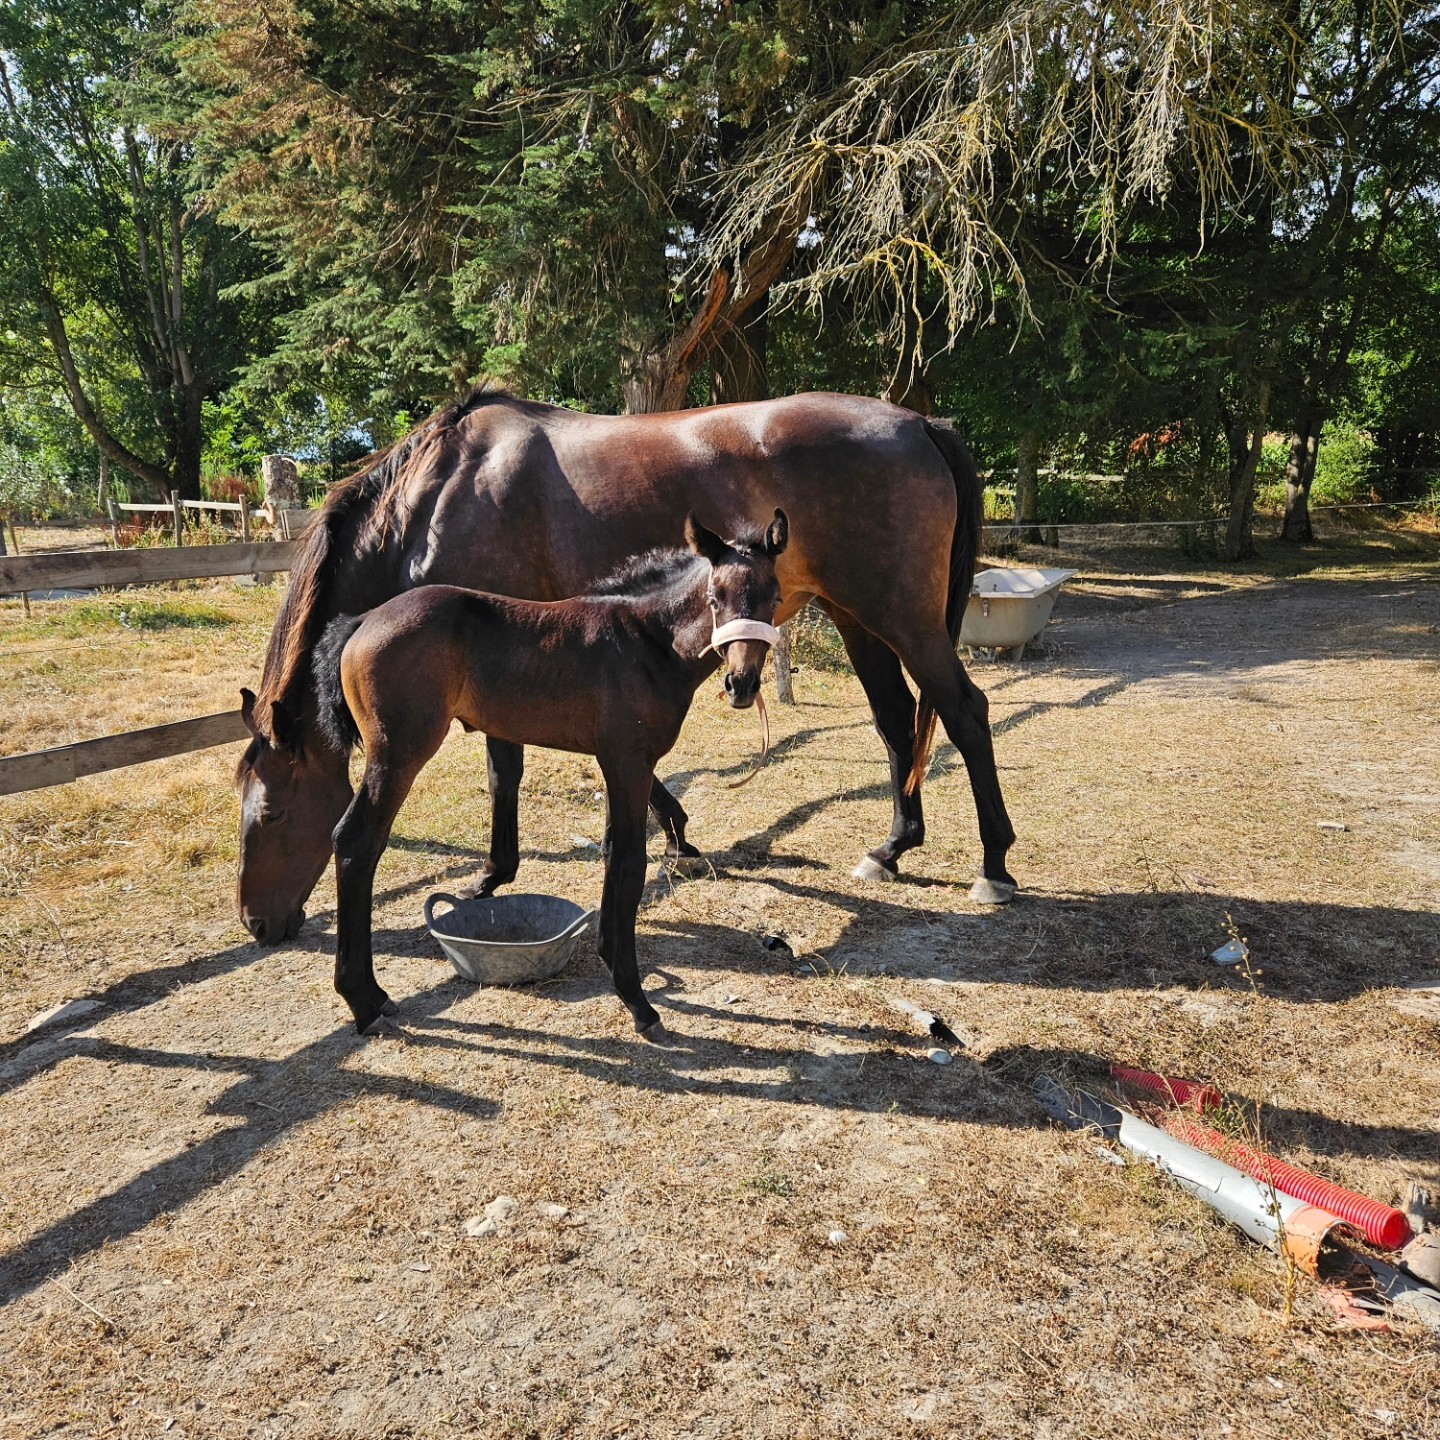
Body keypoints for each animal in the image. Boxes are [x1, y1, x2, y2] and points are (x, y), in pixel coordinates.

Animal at [236, 387, 1017, 945]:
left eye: (270, 813)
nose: (258, 925)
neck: (437, 496)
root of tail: (920, 422)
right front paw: (679, 834)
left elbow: (504, 767)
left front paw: (494, 873)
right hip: (860, 617)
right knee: (896, 721)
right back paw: (892, 848)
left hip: (905, 618)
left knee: (964, 711)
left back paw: (994, 865)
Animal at [301, 512, 787, 1039]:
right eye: (715, 598)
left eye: (775, 597)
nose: (741, 684)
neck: (648, 643)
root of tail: (362, 620)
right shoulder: (628, 762)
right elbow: (629, 863)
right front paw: (637, 1001)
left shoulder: (618, 764)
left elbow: (614, 853)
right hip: (397, 755)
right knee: (356, 841)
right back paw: (363, 999)